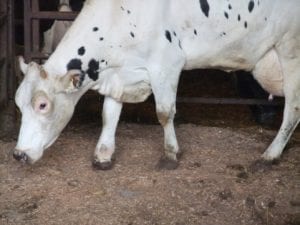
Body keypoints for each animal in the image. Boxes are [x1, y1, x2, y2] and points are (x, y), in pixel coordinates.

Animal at [13, 0, 300, 169]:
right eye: (18, 103)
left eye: (42, 105)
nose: (18, 154)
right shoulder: (119, 73)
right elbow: (109, 114)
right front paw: (103, 153)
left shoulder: (167, 64)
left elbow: (164, 113)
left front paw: (170, 154)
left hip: (291, 50)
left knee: (292, 110)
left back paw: (271, 154)